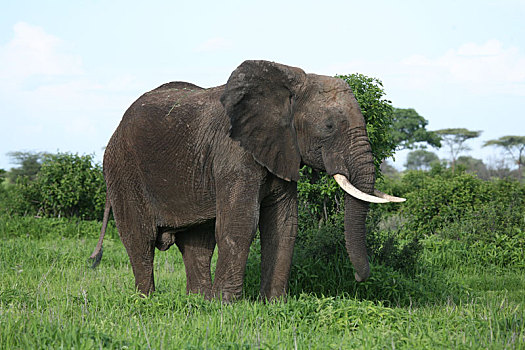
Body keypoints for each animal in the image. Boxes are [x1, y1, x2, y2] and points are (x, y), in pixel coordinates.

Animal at [88, 59, 404, 300]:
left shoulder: (282, 149)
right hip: (123, 169)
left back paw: (198, 301)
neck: (288, 87)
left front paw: (273, 304)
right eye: (328, 127)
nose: (358, 277)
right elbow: (240, 223)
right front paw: (226, 305)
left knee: (197, 243)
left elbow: (284, 225)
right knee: (139, 237)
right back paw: (147, 300)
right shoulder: (234, 153)